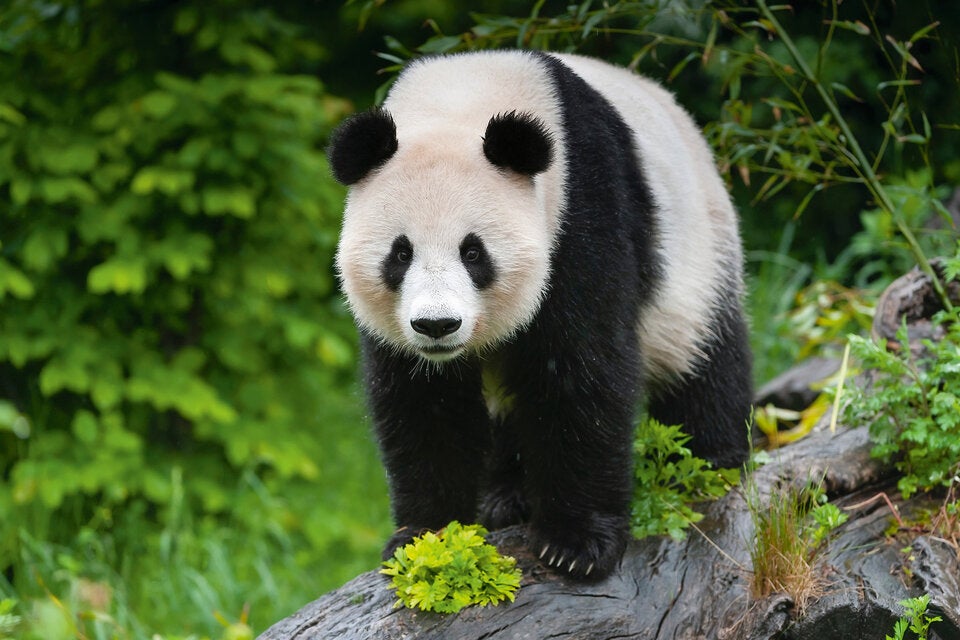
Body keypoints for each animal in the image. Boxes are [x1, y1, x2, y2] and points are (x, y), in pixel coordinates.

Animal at [328, 50, 753, 581]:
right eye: (400, 254)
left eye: (473, 252)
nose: (437, 325)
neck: (461, 96)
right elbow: (423, 400)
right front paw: (427, 538)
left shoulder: (581, 210)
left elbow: (579, 370)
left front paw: (576, 544)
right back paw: (504, 498)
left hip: (698, 247)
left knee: (703, 359)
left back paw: (711, 462)